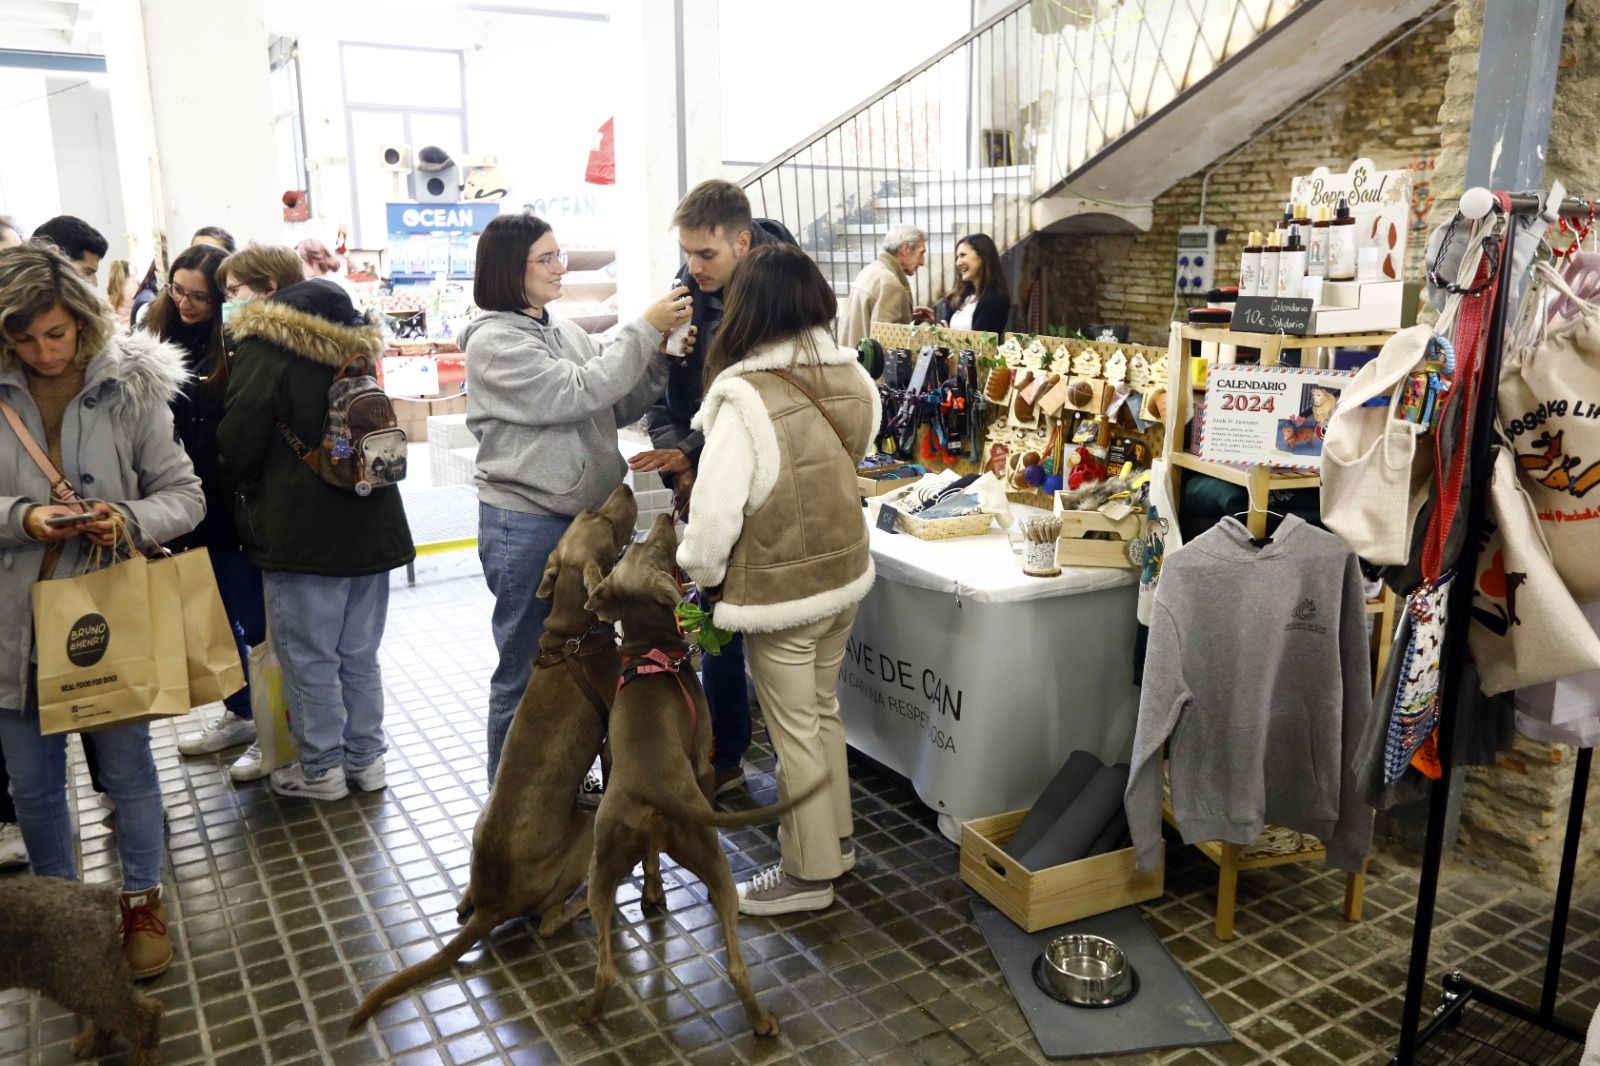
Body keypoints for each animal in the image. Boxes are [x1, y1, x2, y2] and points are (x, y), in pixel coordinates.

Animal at [353, 486, 640, 1024]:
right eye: (605, 521)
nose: (628, 487)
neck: (572, 638)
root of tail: (492, 903)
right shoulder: (612, 740)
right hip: (582, 837)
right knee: (547, 921)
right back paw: (583, 907)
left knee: (466, 904)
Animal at [576, 512, 825, 1030]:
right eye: (653, 548)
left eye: (635, 549)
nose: (665, 514)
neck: (650, 652)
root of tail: (651, 790)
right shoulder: (701, 762)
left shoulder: (609, 755)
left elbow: (651, 865)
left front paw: (653, 895)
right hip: (712, 859)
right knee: (734, 960)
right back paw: (762, 1022)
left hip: (600, 869)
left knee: (606, 967)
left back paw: (589, 1013)